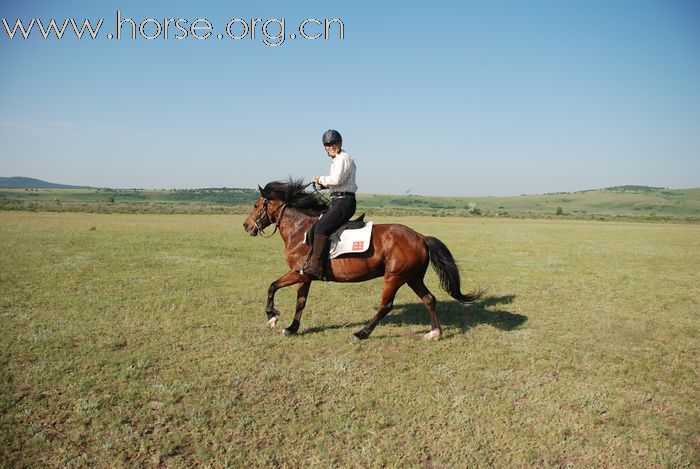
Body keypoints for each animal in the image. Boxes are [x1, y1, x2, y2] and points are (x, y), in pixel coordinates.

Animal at [243, 177, 484, 338]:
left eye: (256, 205)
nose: (246, 225)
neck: (300, 230)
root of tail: (421, 237)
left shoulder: (298, 273)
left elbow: (272, 286)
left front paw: (272, 317)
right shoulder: (305, 275)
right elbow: (300, 302)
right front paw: (292, 328)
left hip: (394, 277)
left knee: (386, 306)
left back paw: (362, 333)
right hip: (412, 277)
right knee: (429, 299)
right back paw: (435, 333)